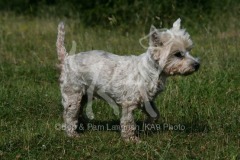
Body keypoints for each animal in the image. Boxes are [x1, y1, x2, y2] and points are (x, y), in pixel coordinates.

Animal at [55, 18, 199, 142]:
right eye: (178, 54)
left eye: (189, 50)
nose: (197, 65)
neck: (151, 72)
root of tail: (67, 58)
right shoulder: (128, 103)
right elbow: (128, 122)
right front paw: (131, 140)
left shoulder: (148, 100)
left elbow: (155, 115)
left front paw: (148, 126)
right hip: (73, 94)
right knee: (69, 115)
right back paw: (73, 134)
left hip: (84, 96)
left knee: (77, 112)